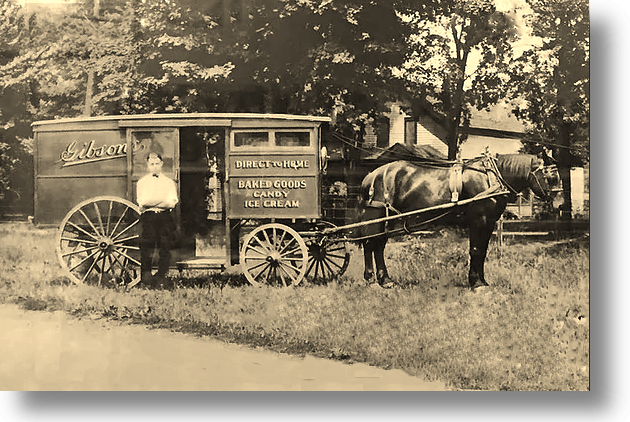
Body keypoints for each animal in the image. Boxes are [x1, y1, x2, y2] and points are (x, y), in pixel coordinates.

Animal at [358, 154, 556, 290]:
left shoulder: (489, 223)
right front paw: (476, 283)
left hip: (387, 221)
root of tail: (370, 176)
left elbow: (482, 251)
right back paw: (372, 279)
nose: (553, 199)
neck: (490, 178)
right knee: (370, 245)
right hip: (376, 218)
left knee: (378, 246)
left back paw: (385, 280)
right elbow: (476, 250)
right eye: (550, 176)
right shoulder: (479, 220)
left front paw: (482, 281)